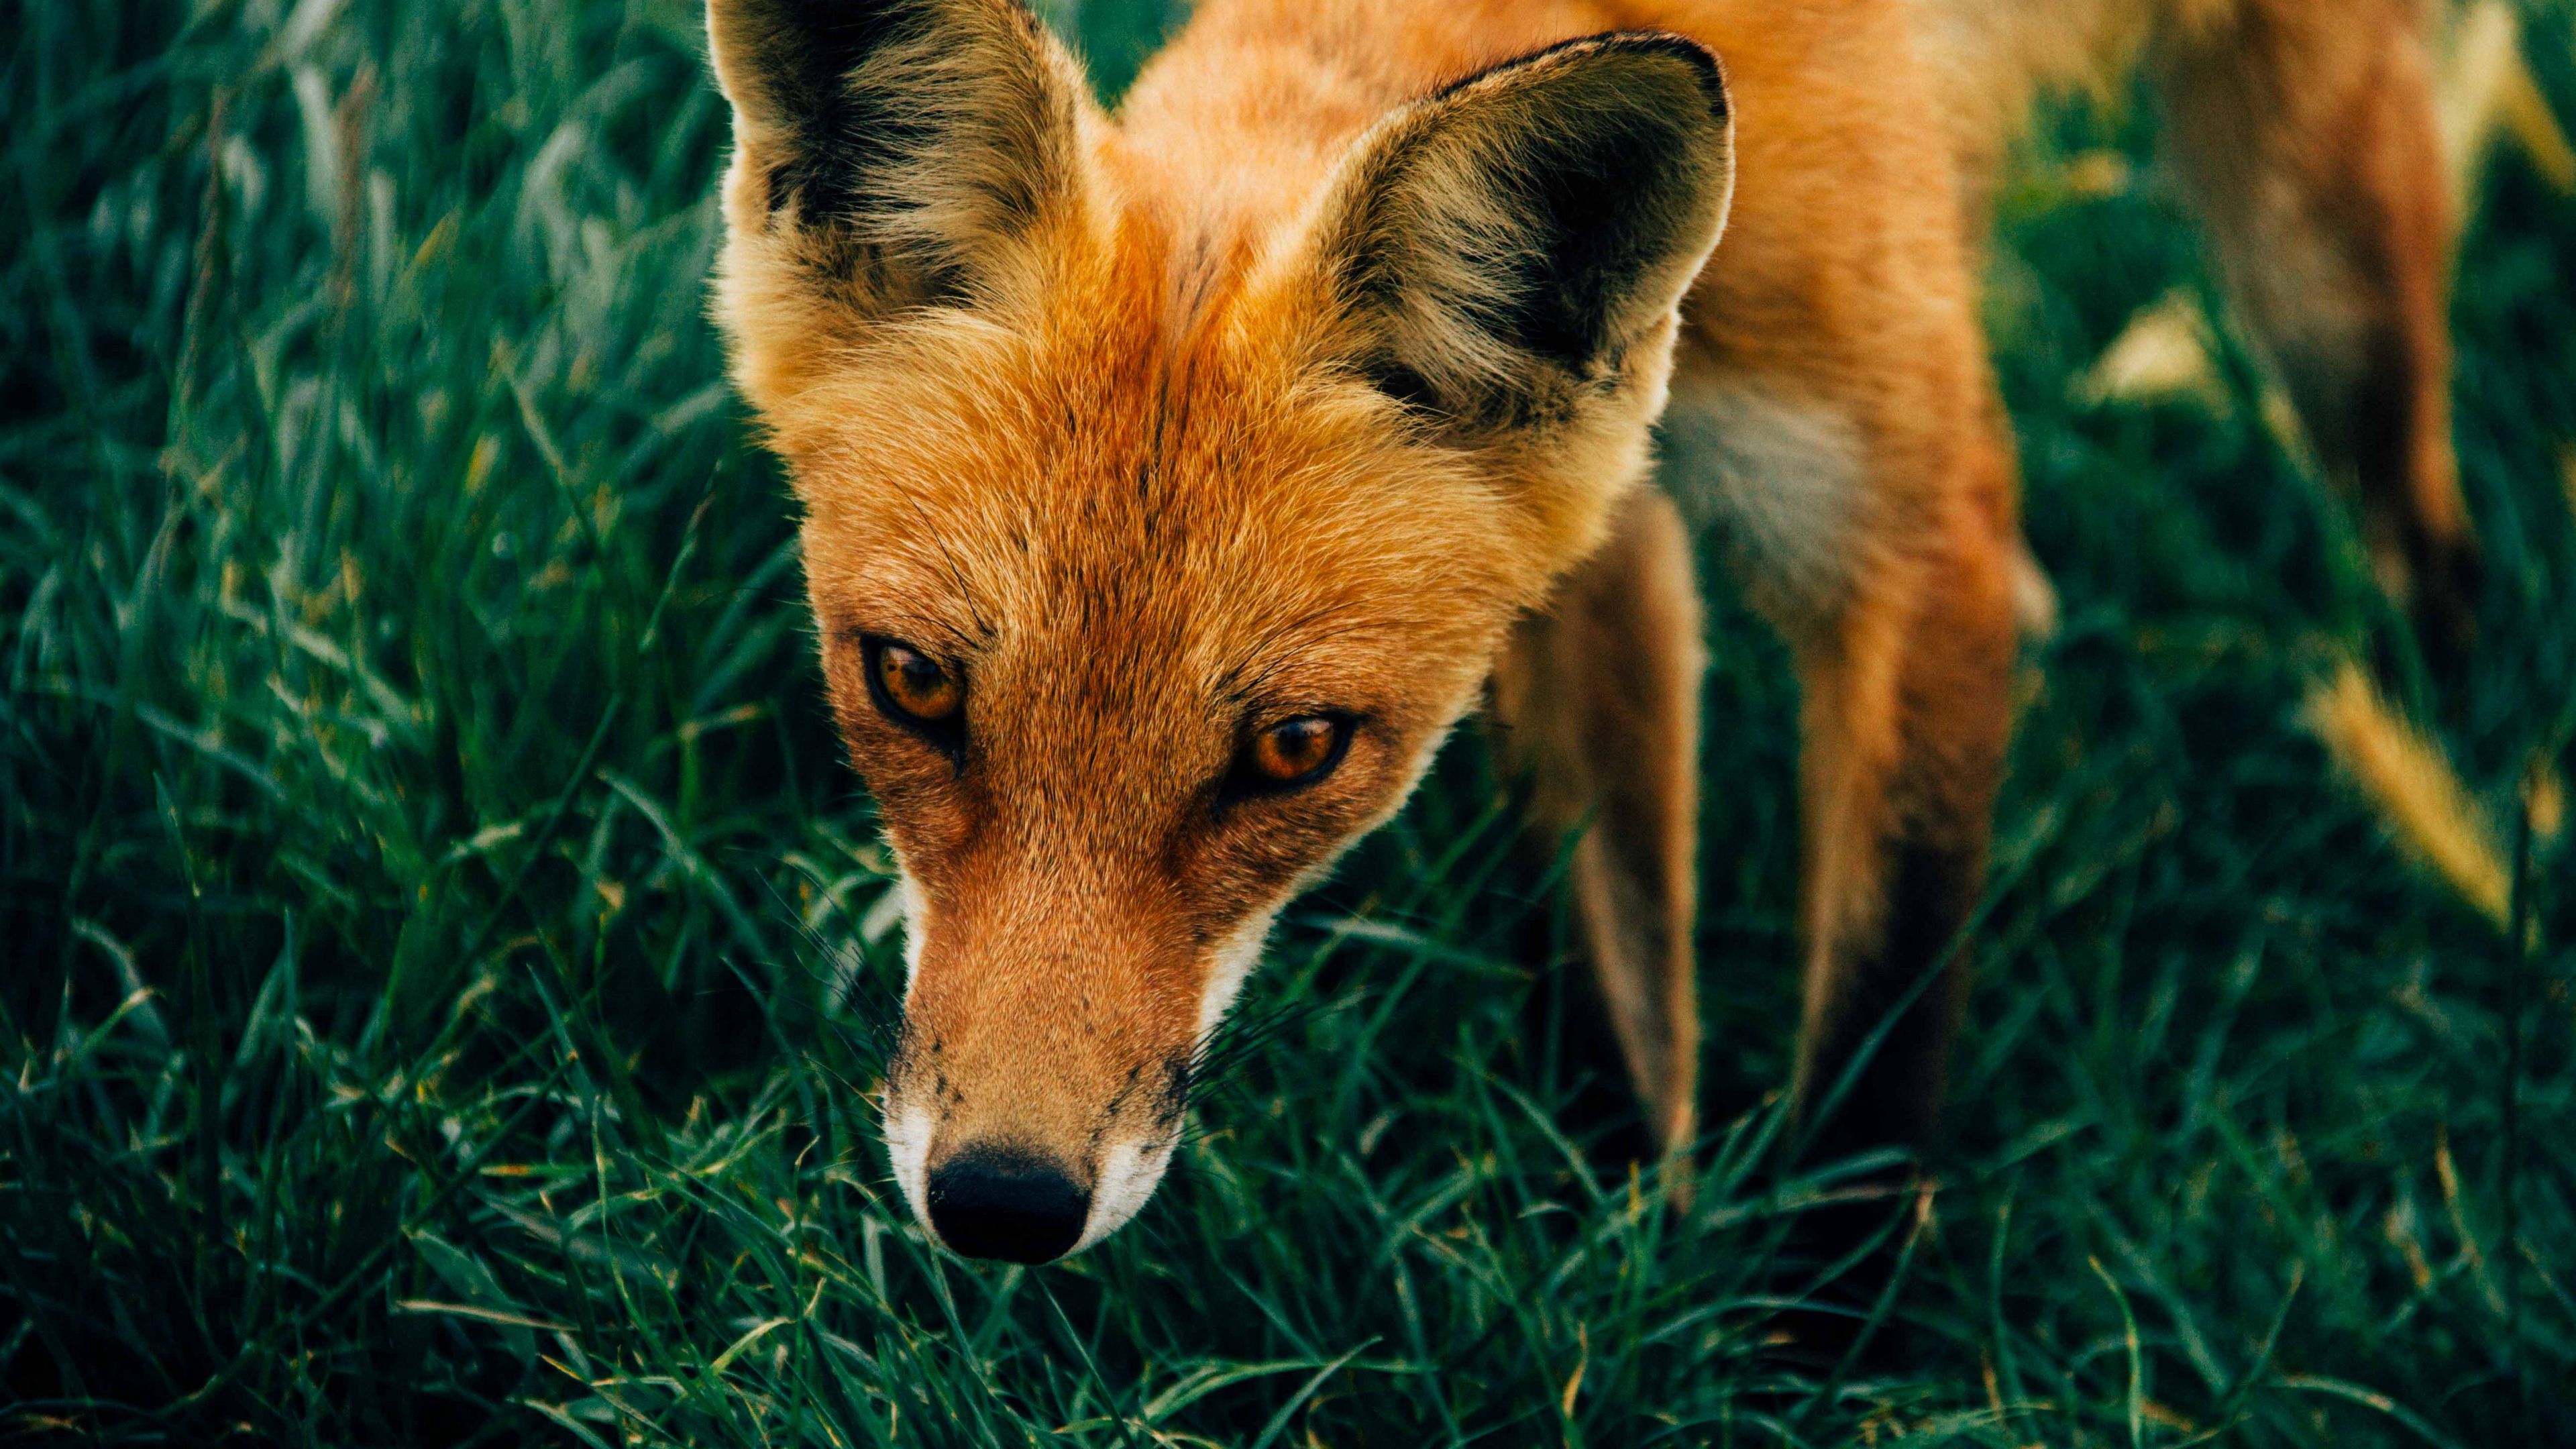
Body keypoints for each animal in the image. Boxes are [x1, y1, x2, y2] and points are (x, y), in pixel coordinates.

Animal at [700, 0, 2473, 1266]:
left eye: (1294, 751)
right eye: (910, 682)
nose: (1001, 1203)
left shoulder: (1906, 535)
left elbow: (1880, 1018)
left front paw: (1824, 1347)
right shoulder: (1600, 552)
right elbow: (1615, 968)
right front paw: (1627, 1253)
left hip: (2315, 245)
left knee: (2412, 497)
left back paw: (2453, 763)